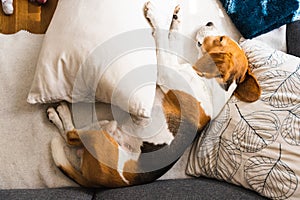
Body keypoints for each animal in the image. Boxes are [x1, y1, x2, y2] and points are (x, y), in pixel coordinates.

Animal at [47, 2, 260, 188]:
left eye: (221, 39)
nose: (209, 23)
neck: (211, 84)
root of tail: (101, 182)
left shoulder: (166, 71)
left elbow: (162, 40)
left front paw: (156, 15)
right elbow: (171, 40)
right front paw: (175, 21)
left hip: (100, 137)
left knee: (70, 136)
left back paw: (59, 113)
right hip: (107, 124)